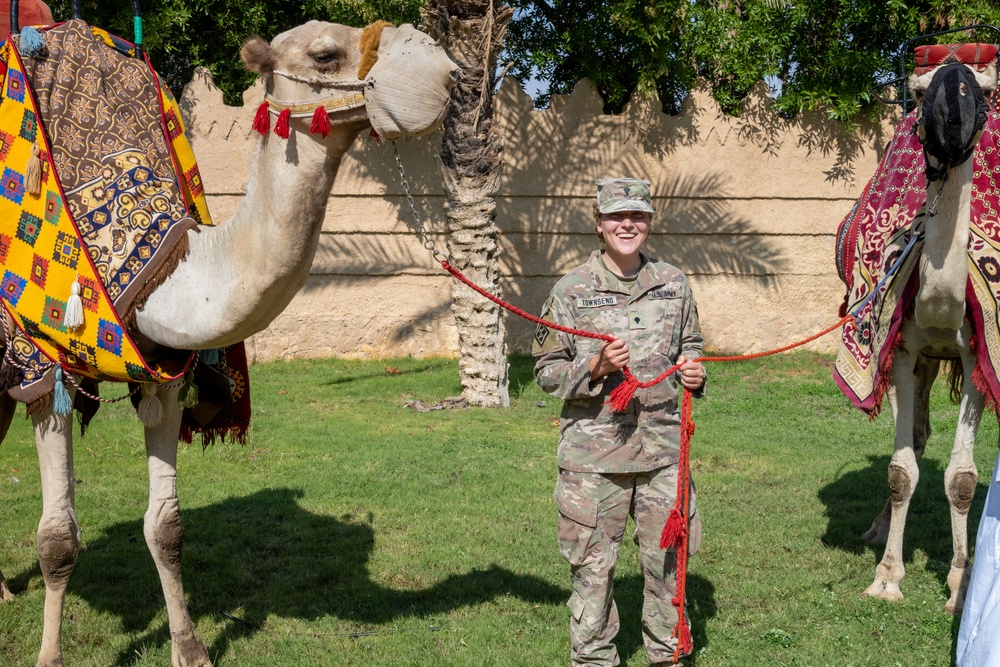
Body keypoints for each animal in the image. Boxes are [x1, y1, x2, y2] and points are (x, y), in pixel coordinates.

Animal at [1, 18, 456, 664]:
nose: (443, 73)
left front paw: (190, 648)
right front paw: (49, 657)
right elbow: (57, 539)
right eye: (325, 54)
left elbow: (166, 526)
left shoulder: (166, 372)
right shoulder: (46, 369)